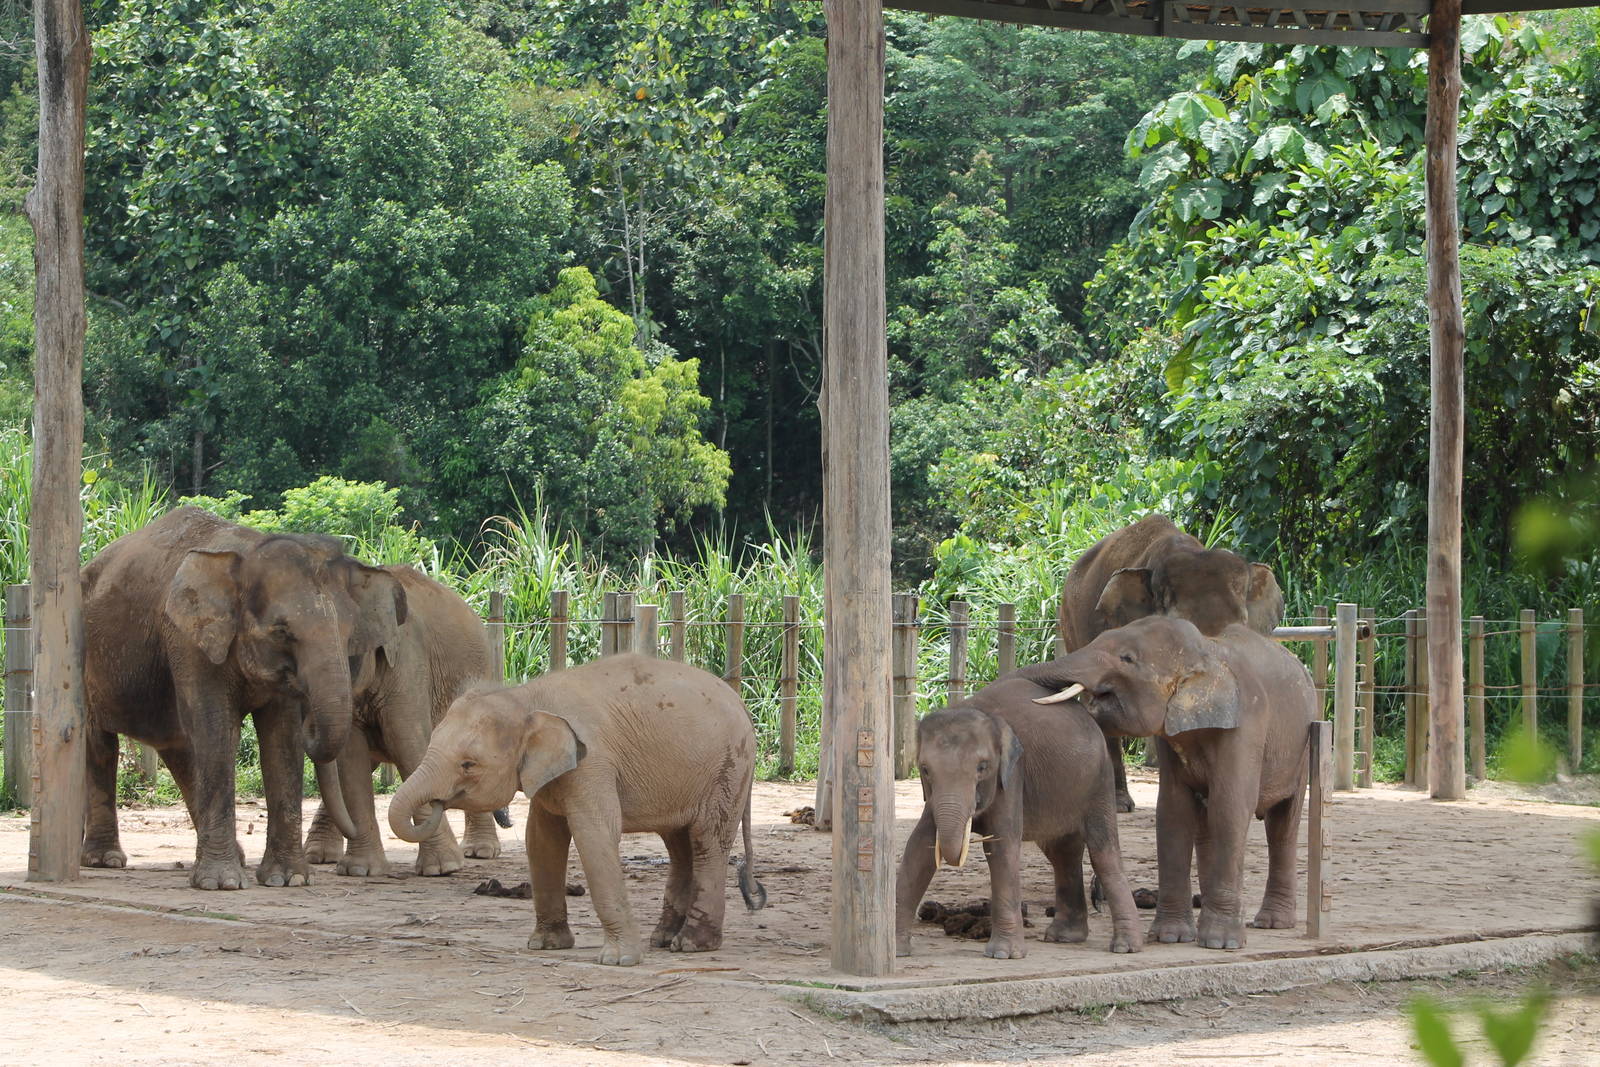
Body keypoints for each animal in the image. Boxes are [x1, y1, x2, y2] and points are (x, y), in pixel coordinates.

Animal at [80, 506, 406, 890]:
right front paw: (220, 883)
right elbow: (217, 727)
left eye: (349, 631)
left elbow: (281, 739)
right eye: (282, 632)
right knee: (100, 744)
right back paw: (104, 860)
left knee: (178, 748)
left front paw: (288, 879)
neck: (249, 550)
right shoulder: (188, 640)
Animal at [303, 565, 505, 878]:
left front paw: (442, 868)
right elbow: (352, 757)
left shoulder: (408, 665)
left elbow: (408, 743)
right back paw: (318, 857)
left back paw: (479, 852)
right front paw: (359, 870)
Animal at [388, 653, 766, 966]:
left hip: (728, 770)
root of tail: (741, 704)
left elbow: (594, 834)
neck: (527, 697)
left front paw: (618, 961)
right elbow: (541, 840)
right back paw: (663, 939)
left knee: (707, 842)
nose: (438, 802)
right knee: (679, 845)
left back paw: (691, 945)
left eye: (468, 764)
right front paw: (545, 945)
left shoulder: (593, 763)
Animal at [894, 675, 1141, 959]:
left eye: (982, 767)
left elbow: (1002, 848)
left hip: (1098, 782)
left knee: (1103, 851)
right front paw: (896, 951)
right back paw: (1064, 937)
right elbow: (919, 847)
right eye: (925, 769)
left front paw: (1004, 954)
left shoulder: (1012, 776)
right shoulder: (934, 797)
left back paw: (1125, 947)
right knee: (1063, 854)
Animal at [1023, 615, 1316, 949]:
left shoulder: (1247, 724)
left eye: (1127, 658)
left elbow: (1229, 809)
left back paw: (1272, 923)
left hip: (1304, 744)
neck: (1207, 652)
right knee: (1206, 824)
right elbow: (1173, 811)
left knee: (1282, 825)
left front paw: (1220, 943)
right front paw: (1170, 937)